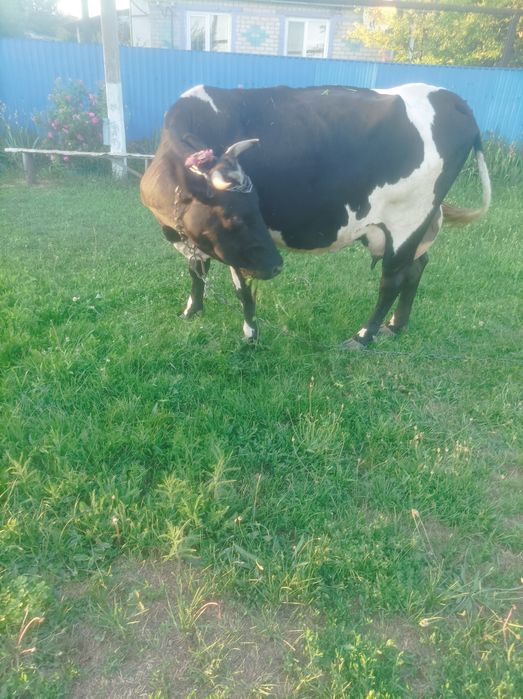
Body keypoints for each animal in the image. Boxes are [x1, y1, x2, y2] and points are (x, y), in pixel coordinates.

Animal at [140, 83, 491, 348]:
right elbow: (196, 269)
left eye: (254, 209)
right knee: (417, 266)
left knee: (392, 279)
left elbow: (241, 289)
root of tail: (451, 98)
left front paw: (250, 335)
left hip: (407, 219)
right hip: (417, 222)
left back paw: (363, 337)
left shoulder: (236, 250)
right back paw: (396, 326)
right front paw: (193, 311)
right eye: (236, 218)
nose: (277, 265)